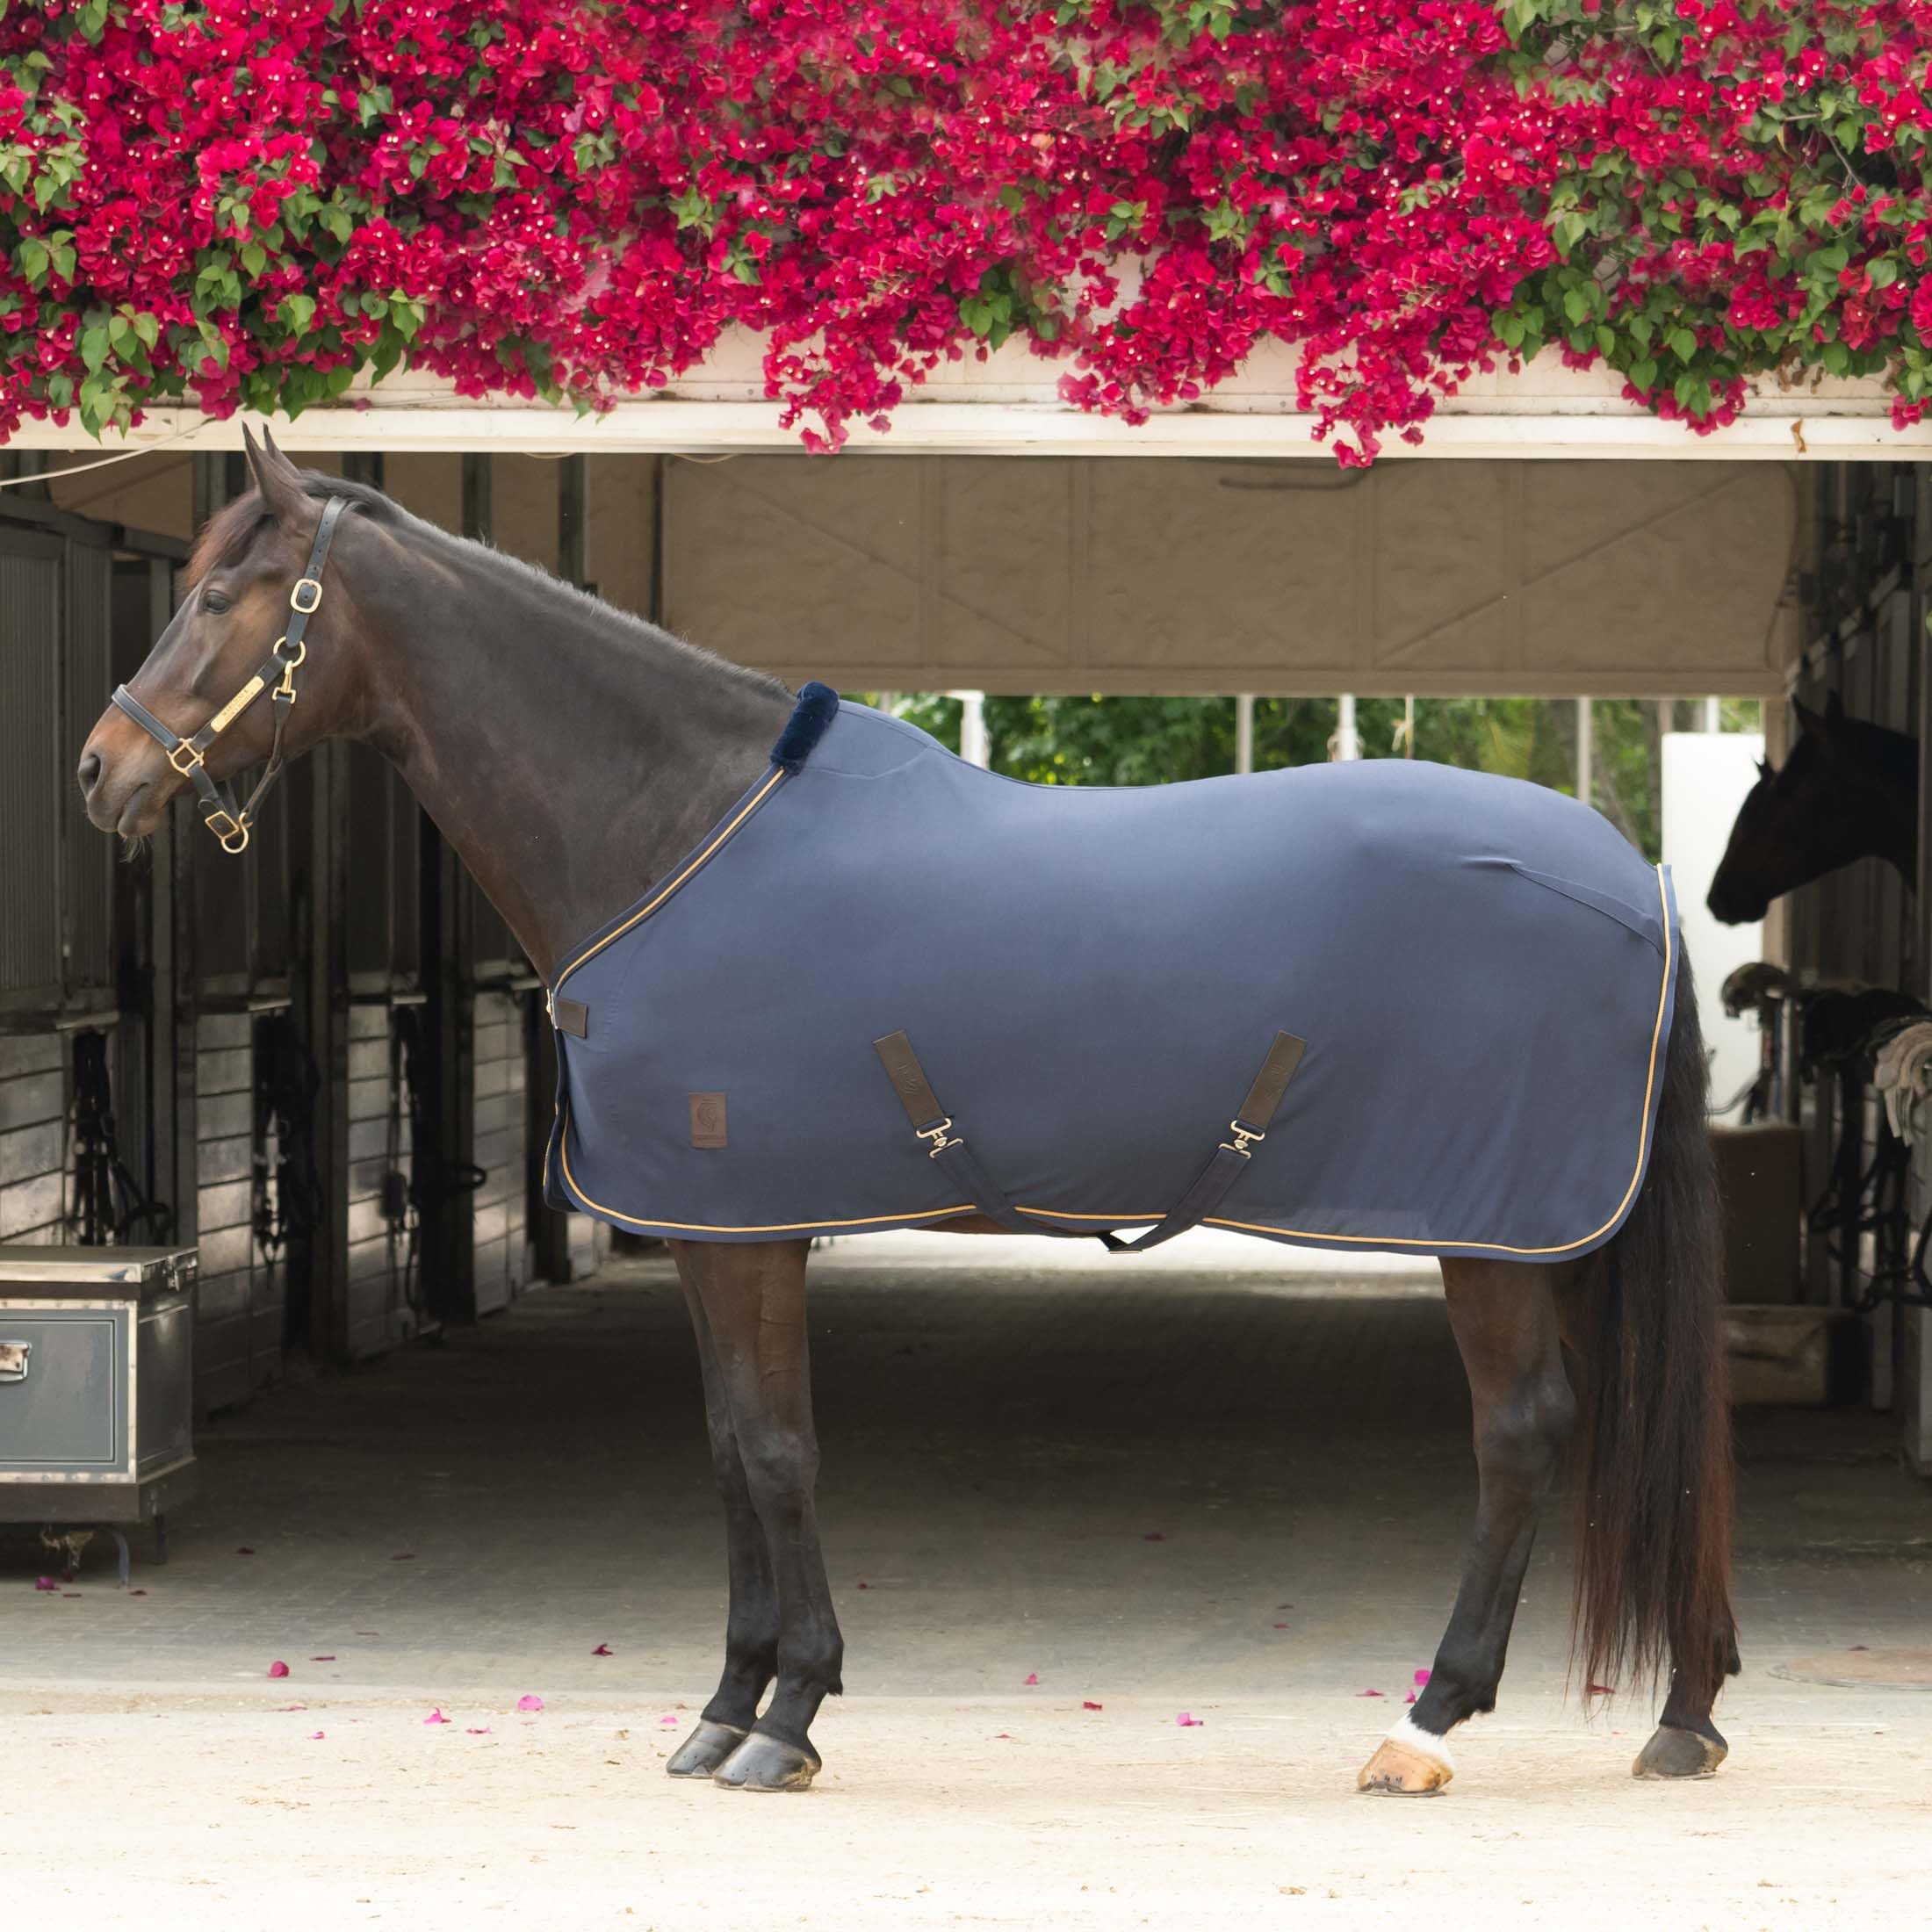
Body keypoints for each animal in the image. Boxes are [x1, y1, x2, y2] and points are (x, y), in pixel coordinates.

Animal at [77, 430, 1737, 1798]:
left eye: (223, 596)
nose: (99, 772)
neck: (675, 833)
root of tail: (1631, 878)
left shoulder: (748, 1229)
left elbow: (775, 1450)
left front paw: (788, 1715)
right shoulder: (706, 1233)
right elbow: (727, 1452)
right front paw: (726, 1707)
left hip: (1498, 1239)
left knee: (1522, 1439)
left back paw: (1429, 1722)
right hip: (1546, 1242)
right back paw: (1688, 1709)